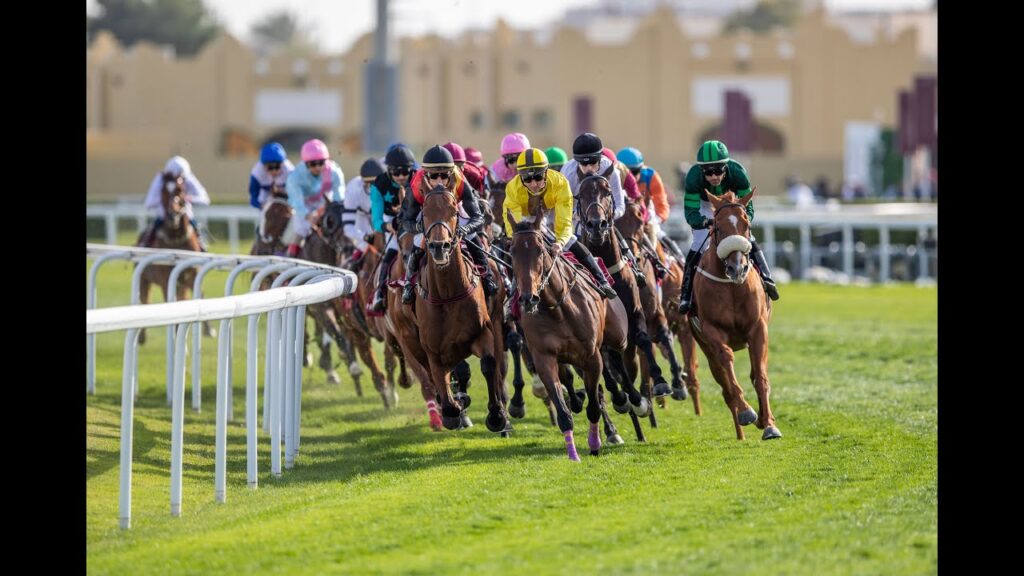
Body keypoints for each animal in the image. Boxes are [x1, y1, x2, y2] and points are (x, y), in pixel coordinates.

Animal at [505, 206, 630, 457]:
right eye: (512, 251)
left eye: (540, 249)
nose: (527, 298)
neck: (557, 306)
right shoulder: (544, 358)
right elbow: (564, 412)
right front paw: (573, 454)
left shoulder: (591, 356)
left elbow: (595, 404)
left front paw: (595, 445)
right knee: (572, 381)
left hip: (617, 333)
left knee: (616, 356)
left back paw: (630, 401)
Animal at [692, 190, 778, 436]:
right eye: (717, 227)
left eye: (746, 225)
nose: (737, 268)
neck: (731, 287)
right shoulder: (712, 330)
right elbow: (727, 360)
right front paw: (747, 411)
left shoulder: (758, 328)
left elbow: (760, 376)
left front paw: (769, 423)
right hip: (701, 342)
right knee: (722, 380)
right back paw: (740, 425)